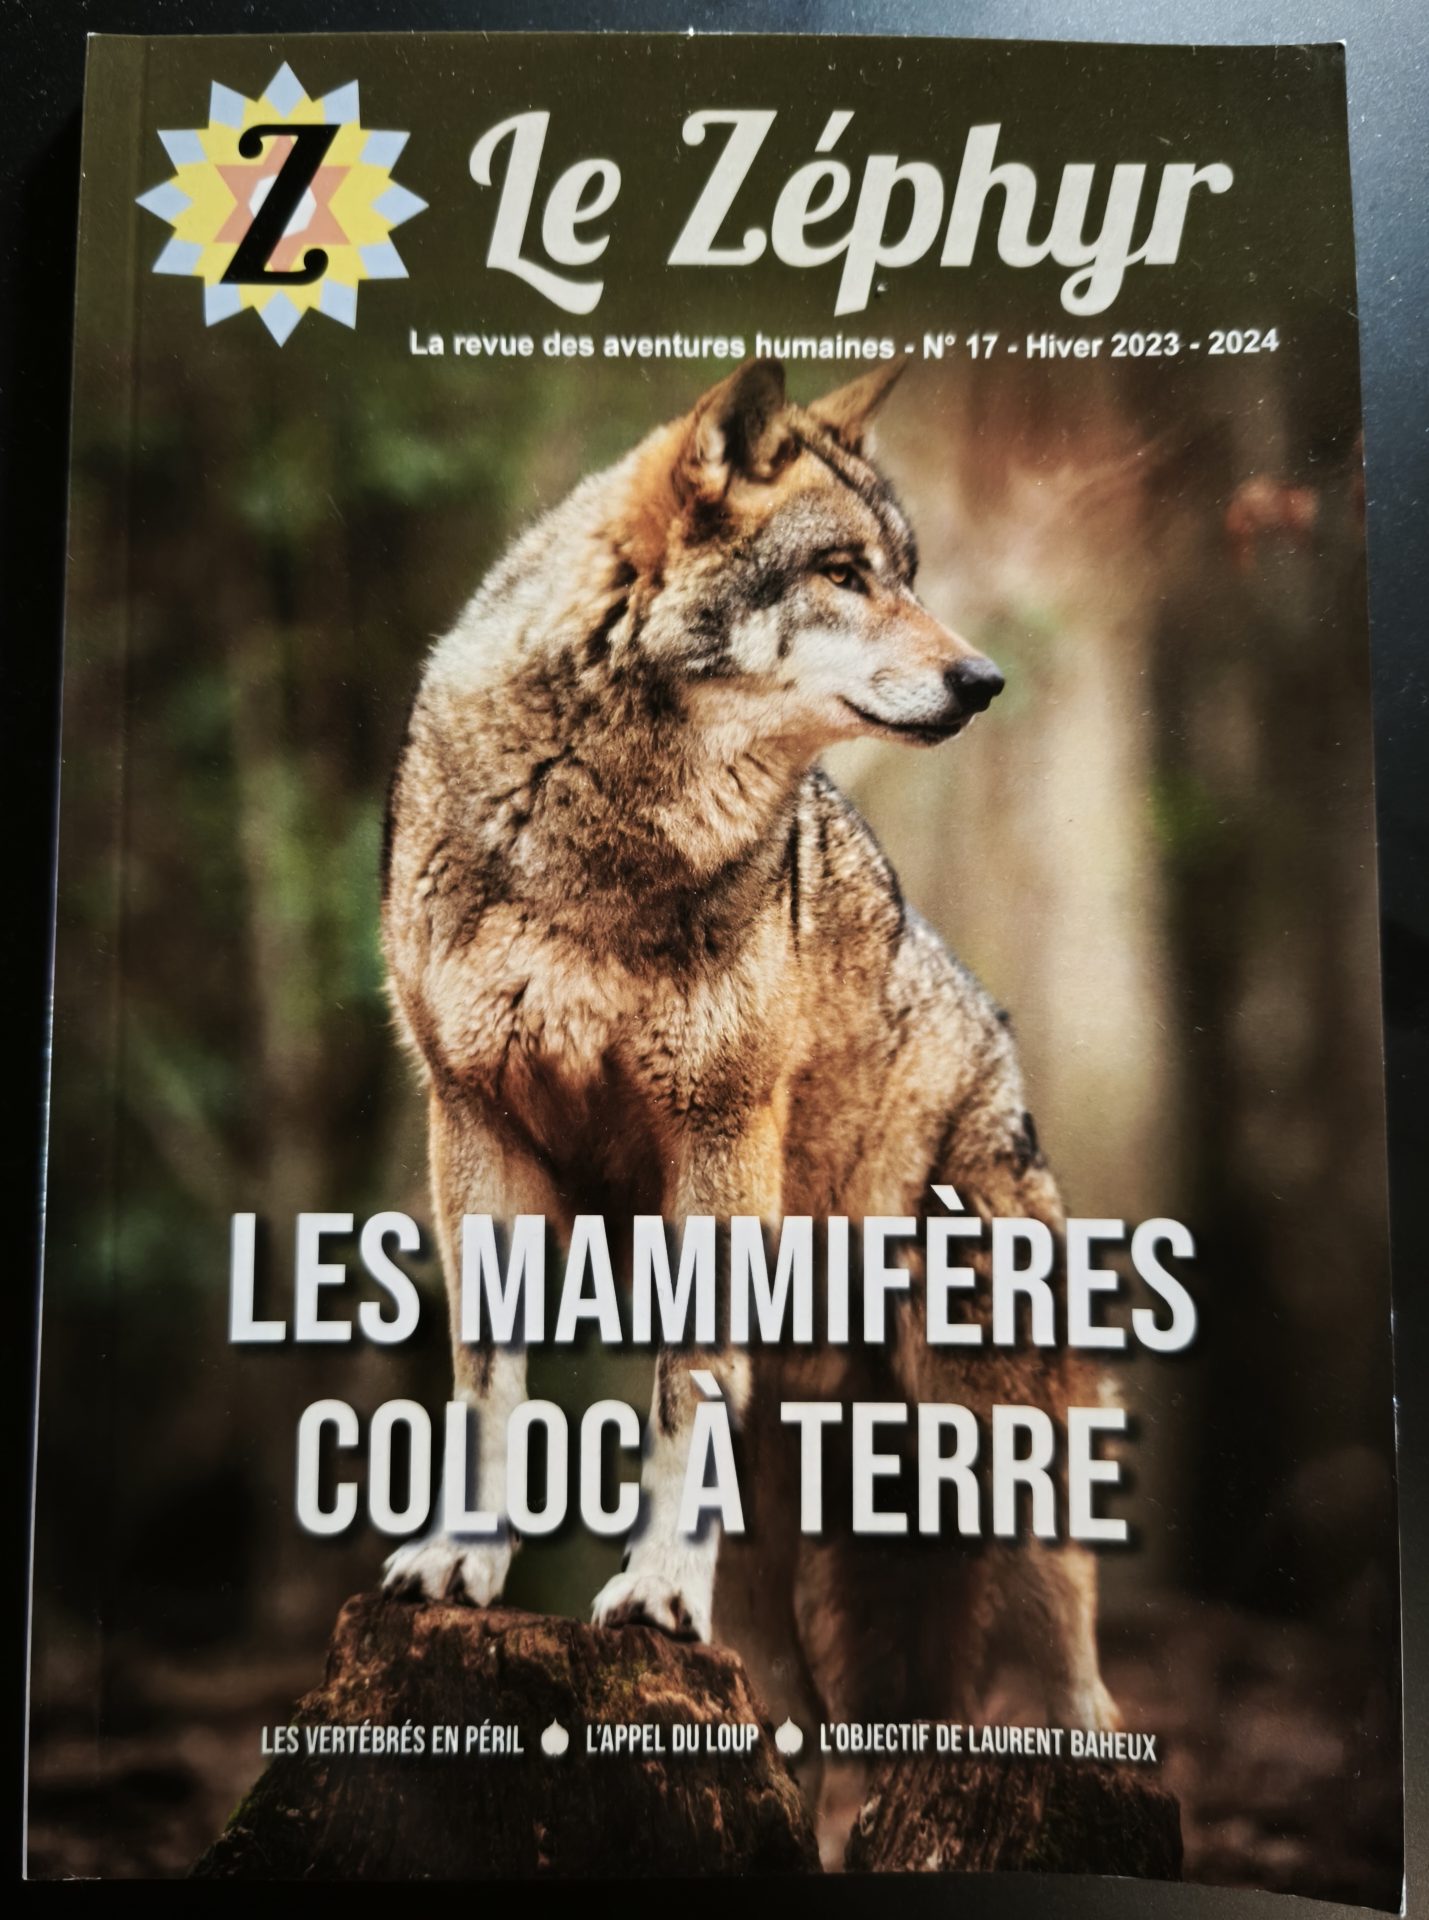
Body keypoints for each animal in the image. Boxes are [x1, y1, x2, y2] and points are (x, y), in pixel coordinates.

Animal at [379, 357, 1120, 1755]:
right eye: (841, 571)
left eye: (906, 569)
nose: (984, 679)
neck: (596, 828)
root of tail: (998, 1046)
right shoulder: (473, 1124)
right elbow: (489, 1390)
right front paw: (463, 1562)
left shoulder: (717, 1127)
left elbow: (685, 1385)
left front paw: (656, 1592)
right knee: (807, 1722)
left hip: (987, 1434)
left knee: (1079, 1670)